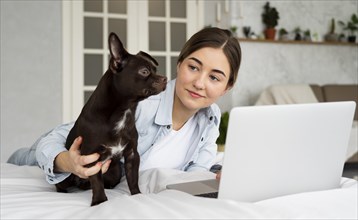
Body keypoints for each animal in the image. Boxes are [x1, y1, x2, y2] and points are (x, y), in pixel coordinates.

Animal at [56, 32, 168, 206]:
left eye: (156, 69)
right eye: (144, 71)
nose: (165, 78)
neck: (125, 110)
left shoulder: (132, 154)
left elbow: (133, 178)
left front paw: (137, 195)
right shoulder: (91, 157)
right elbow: (96, 181)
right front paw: (99, 202)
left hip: (114, 171)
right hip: (66, 175)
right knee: (61, 184)